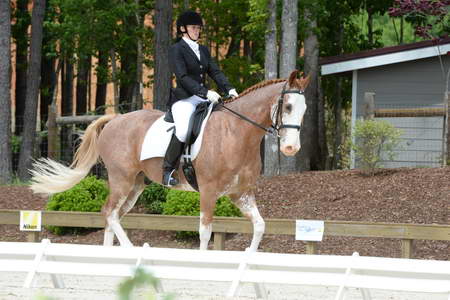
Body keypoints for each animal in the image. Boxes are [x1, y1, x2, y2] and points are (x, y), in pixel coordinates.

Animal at [29, 70, 308, 251]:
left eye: (304, 109)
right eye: (288, 107)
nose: (291, 148)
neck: (236, 132)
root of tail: (115, 119)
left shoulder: (241, 193)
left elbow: (260, 226)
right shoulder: (209, 192)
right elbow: (205, 233)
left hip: (135, 185)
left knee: (113, 216)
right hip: (121, 179)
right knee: (109, 213)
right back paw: (131, 251)